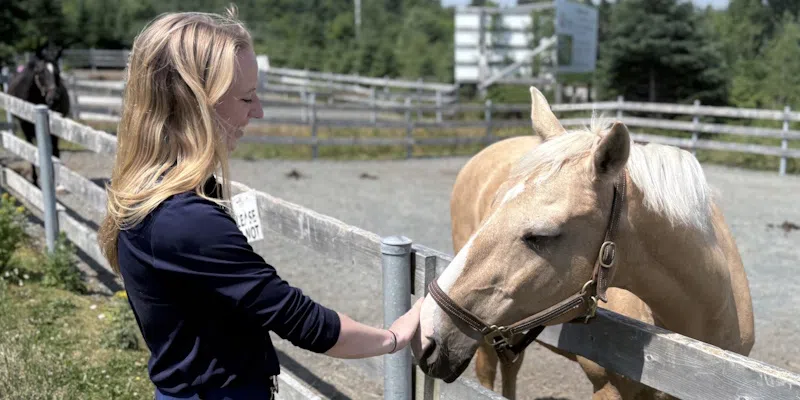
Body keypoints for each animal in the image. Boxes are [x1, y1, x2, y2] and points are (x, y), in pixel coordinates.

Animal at [7, 45, 70, 188]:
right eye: (40, 72)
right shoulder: (25, 126)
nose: (54, 99)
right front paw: (35, 180)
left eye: (58, 72)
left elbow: (54, 152)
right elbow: (31, 151)